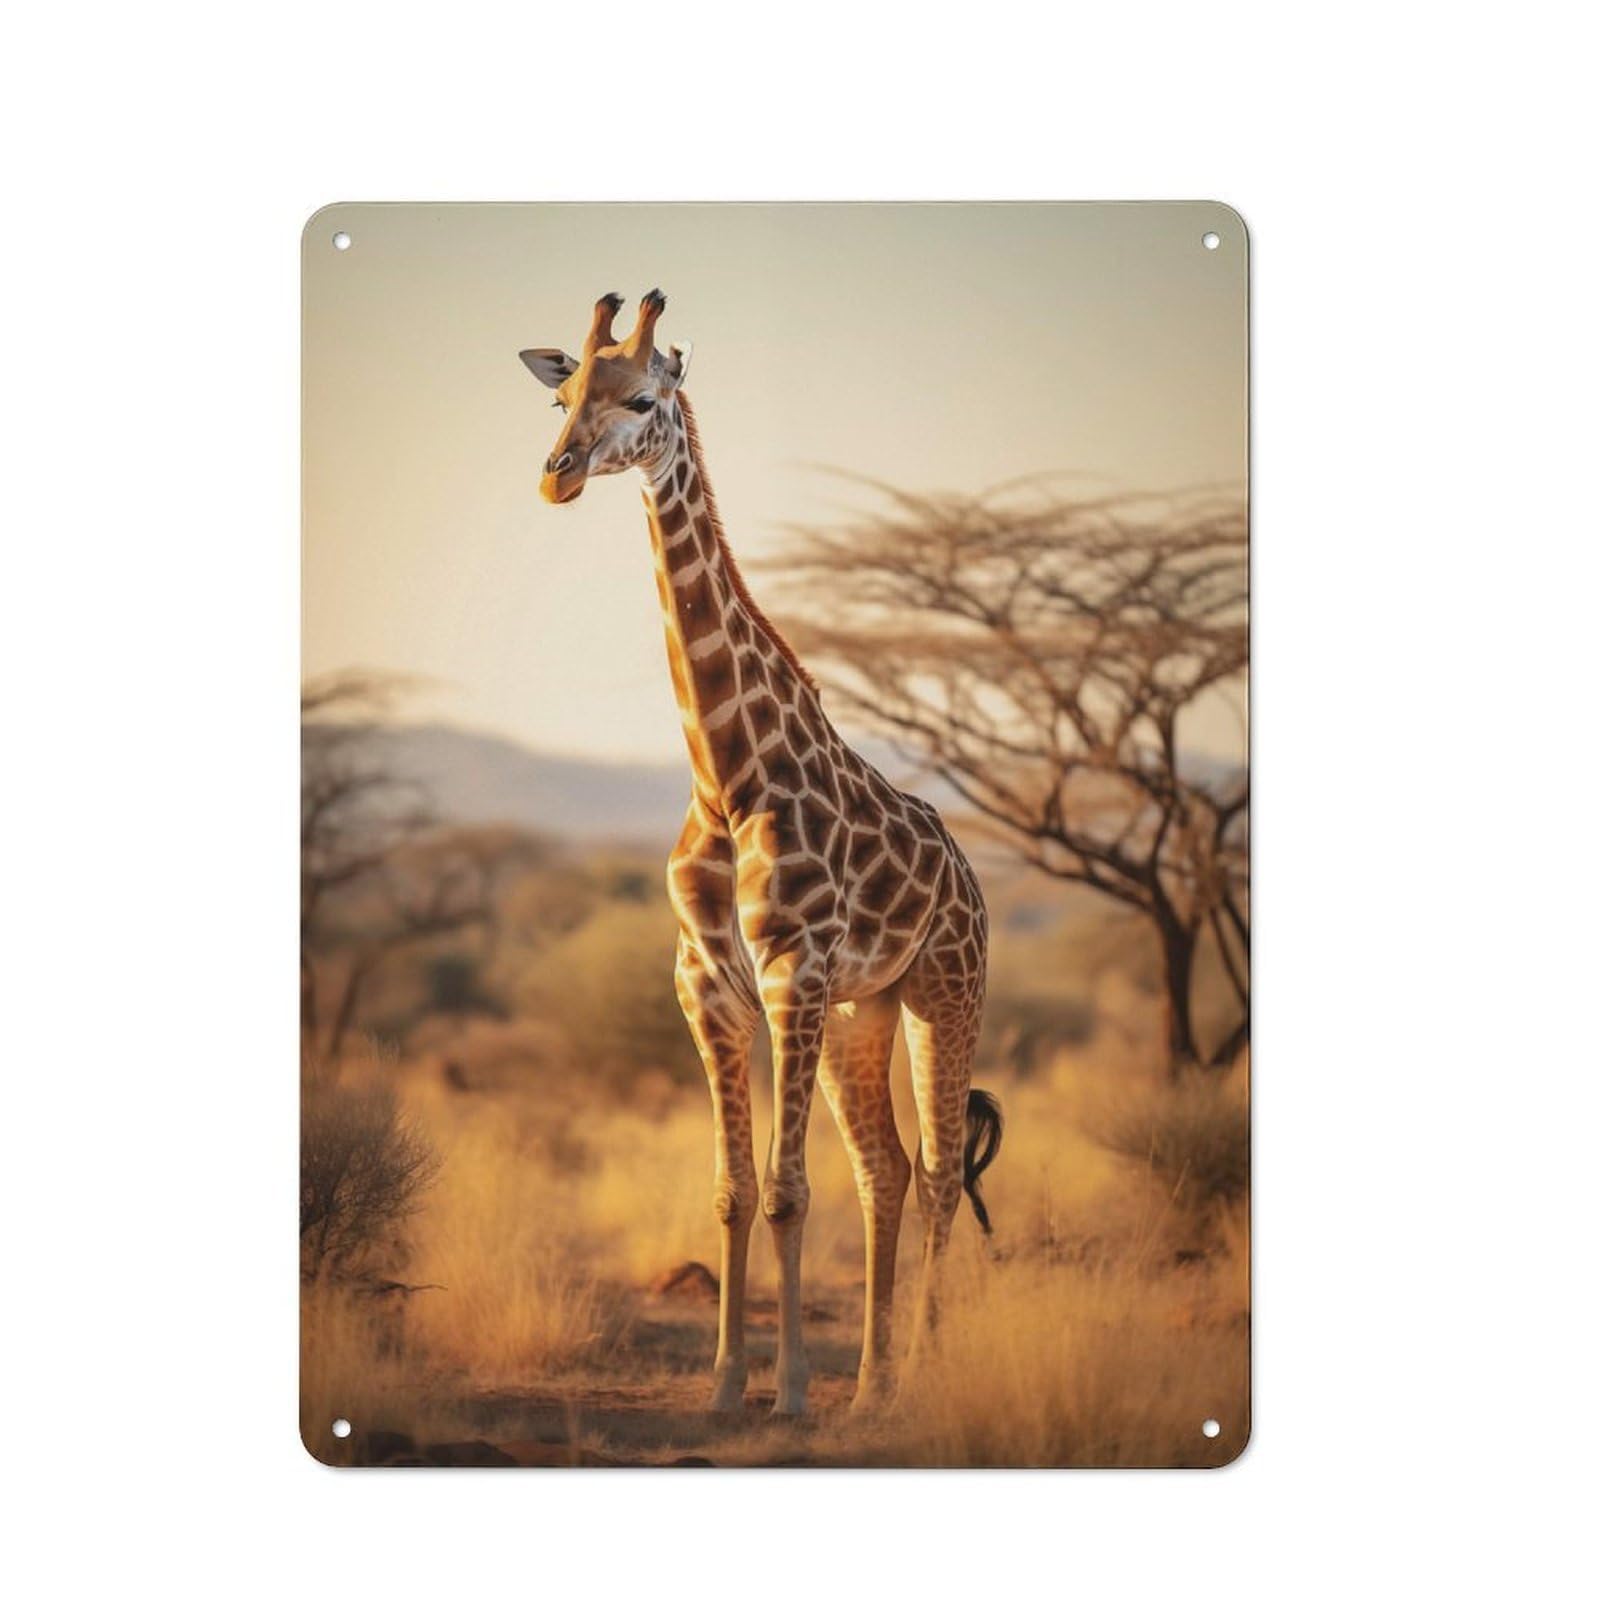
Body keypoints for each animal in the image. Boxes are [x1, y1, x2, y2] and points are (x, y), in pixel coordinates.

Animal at [519, 290, 1001, 1415]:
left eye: (641, 399)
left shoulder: (793, 973)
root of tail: (967, 876)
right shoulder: (707, 987)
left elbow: (786, 1192)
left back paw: (915, 1375)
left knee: (941, 1166)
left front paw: (785, 1391)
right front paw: (726, 1381)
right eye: (563, 395)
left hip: (943, 992)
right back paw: (870, 1384)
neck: (726, 777)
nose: (556, 473)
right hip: (869, 1010)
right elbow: (733, 1191)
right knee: (889, 1170)